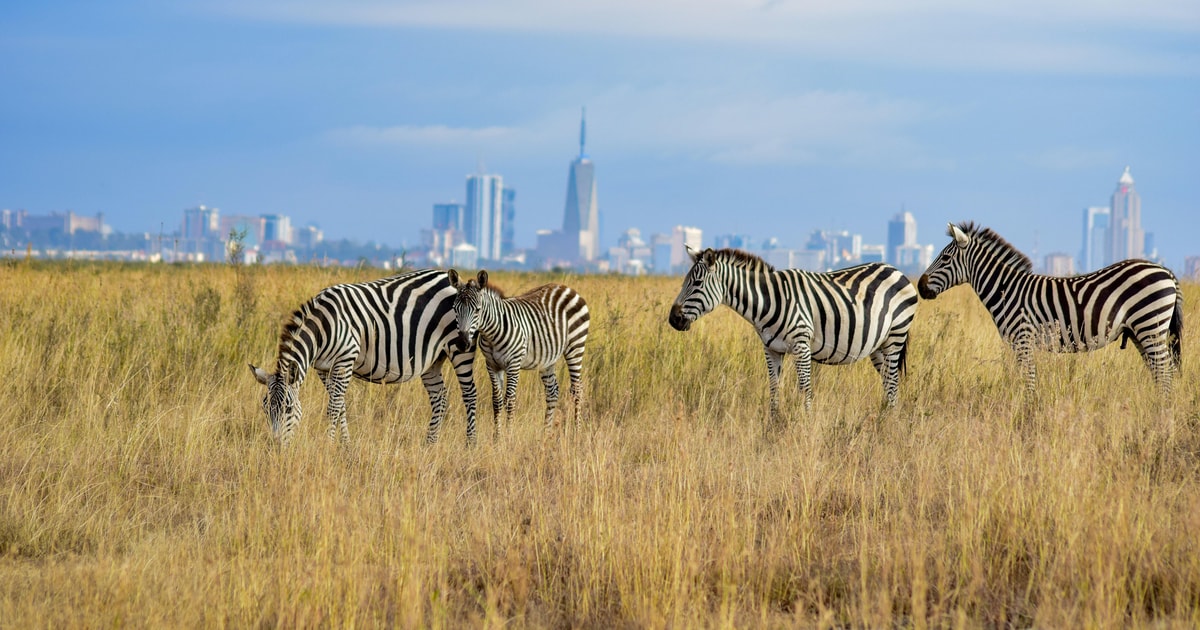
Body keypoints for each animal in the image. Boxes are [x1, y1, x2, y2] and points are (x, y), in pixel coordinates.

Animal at [248, 267, 477, 444]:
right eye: (265, 409)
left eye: (288, 409)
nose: (276, 446)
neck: (323, 327)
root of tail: (447, 277)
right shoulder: (323, 368)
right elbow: (340, 406)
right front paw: (345, 445)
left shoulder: (345, 359)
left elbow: (334, 407)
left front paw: (328, 445)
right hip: (432, 359)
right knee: (440, 397)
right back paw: (429, 444)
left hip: (459, 347)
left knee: (470, 394)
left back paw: (470, 444)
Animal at [446, 267, 590, 434]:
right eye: (455, 309)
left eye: (477, 310)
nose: (462, 344)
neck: (491, 334)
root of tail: (566, 287)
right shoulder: (492, 365)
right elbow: (496, 401)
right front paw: (497, 437)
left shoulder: (513, 363)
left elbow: (510, 400)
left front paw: (509, 435)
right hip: (547, 358)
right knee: (552, 392)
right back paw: (546, 433)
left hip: (575, 346)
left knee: (577, 389)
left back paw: (577, 431)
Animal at [667, 247, 916, 417]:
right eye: (684, 281)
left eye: (697, 283)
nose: (673, 319)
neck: (768, 302)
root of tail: (896, 270)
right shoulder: (771, 349)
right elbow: (774, 388)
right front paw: (773, 424)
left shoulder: (801, 345)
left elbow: (805, 388)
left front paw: (806, 423)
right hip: (878, 346)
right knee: (888, 382)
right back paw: (885, 418)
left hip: (895, 336)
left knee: (893, 381)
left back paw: (889, 423)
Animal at [916, 220, 1180, 393]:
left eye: (945, 258)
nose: (920, 286)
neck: (1006, 290)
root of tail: (1166, 271)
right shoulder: (1018, 343)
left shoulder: (1022, 339)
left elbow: (1029, 380)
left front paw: (1028, 411)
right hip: (1140, 332)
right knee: (1159, 372)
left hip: (1150, 325)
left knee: (1165, 372)